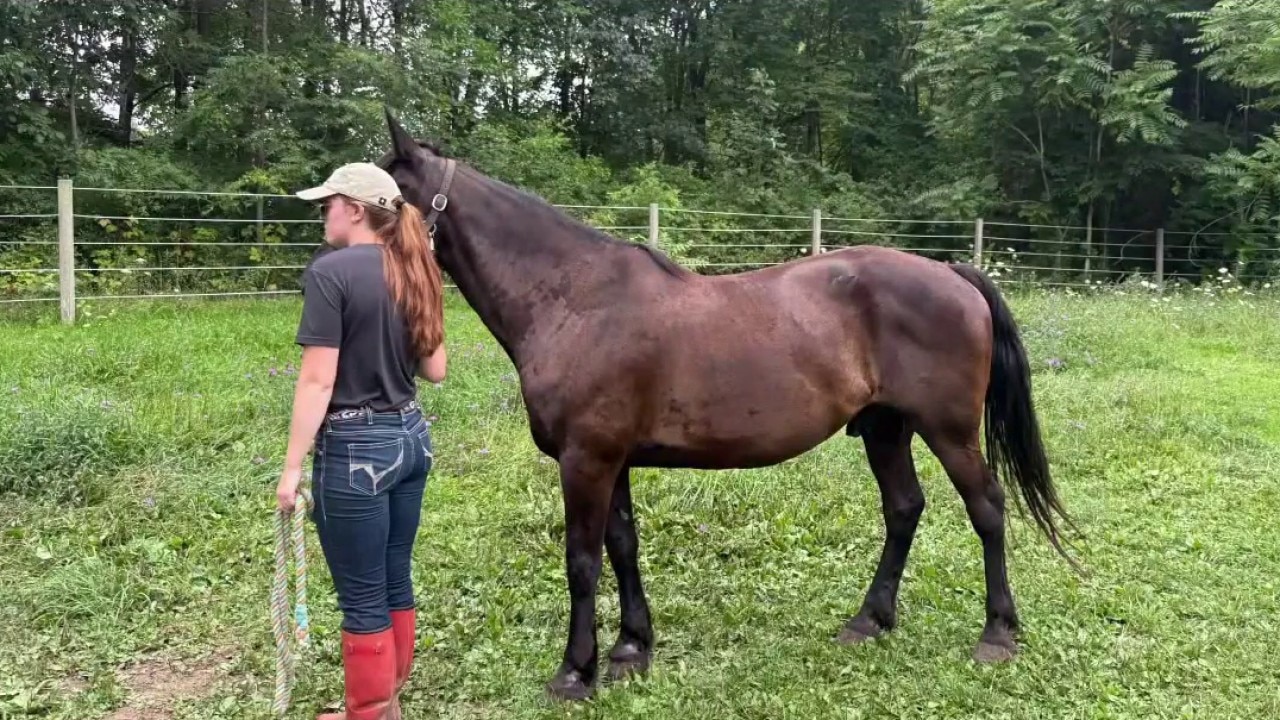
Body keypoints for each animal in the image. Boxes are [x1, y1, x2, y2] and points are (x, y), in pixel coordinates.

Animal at [375, 110, 1076, 700]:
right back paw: (869, 621)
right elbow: (623, 546)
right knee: (904, 509)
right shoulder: (613, 460)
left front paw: (576, 672)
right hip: (885, 429)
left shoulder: (586, 460)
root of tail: (954, 273)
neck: (574, 299)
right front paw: (631, 649)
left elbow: (582, 561)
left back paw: (997, 633)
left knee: (987, 509)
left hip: (949, 431)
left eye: (380, 199)